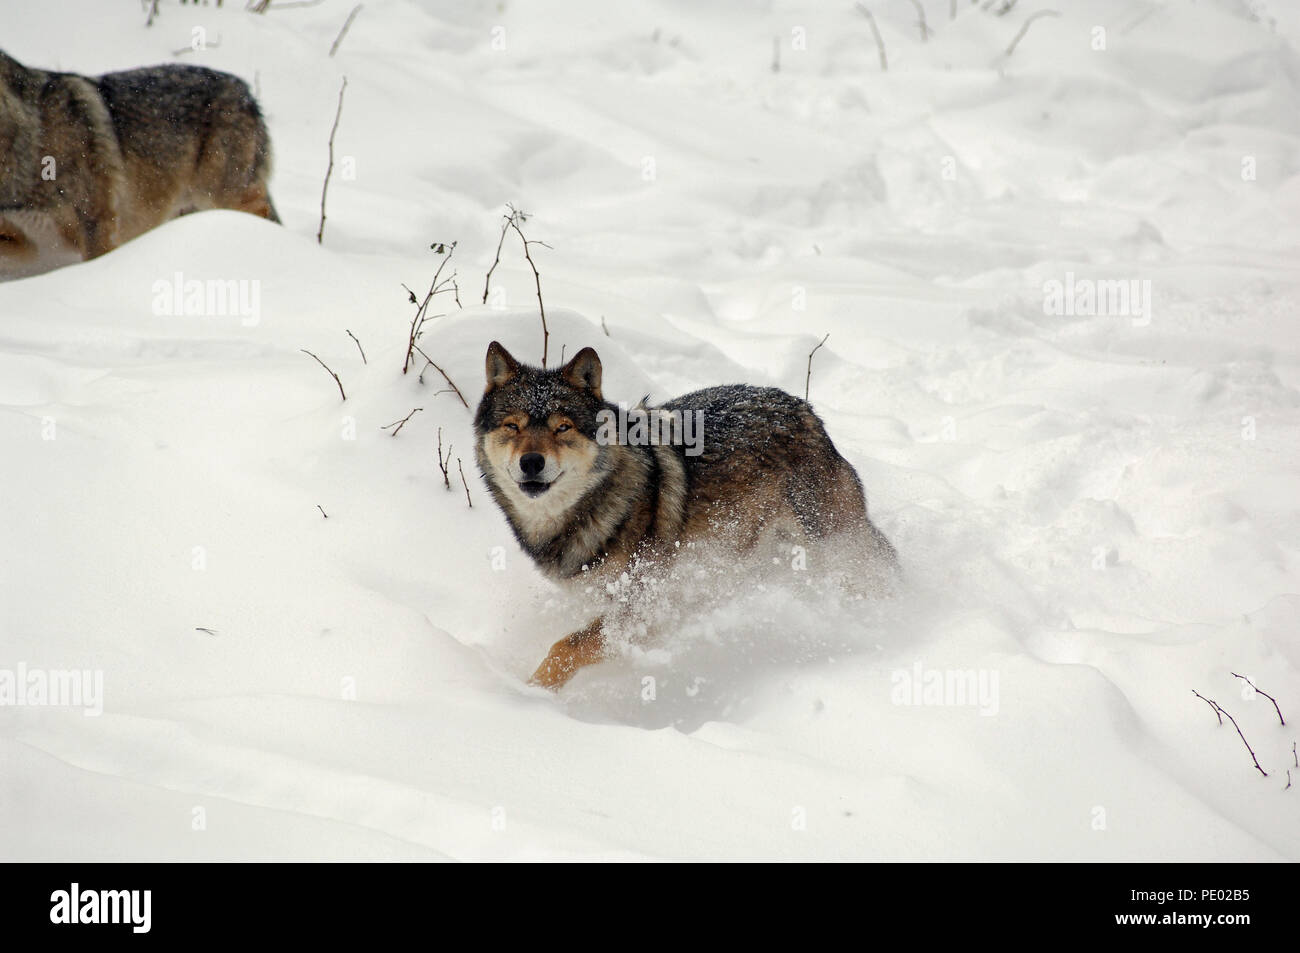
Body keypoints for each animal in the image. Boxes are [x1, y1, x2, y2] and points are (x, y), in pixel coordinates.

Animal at [474, 341, 898, 689]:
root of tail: (803, 407)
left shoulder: (644, 606)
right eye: (512, 426)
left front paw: (530, 694)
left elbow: (565, 647)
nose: (531, 462)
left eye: (562, 427)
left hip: (835, 546)